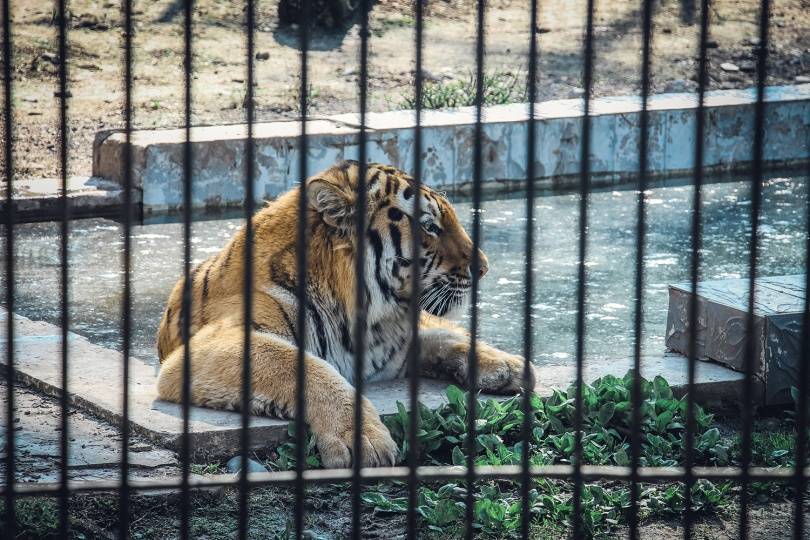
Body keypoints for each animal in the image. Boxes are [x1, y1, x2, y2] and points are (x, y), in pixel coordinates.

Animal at [156, 158, 536, 466]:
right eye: (429, 226)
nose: (484, 268)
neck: (367, 319)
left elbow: (438, 338)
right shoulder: (214, 343)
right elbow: (305, 367)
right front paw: (365, 439)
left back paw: (510, 366)